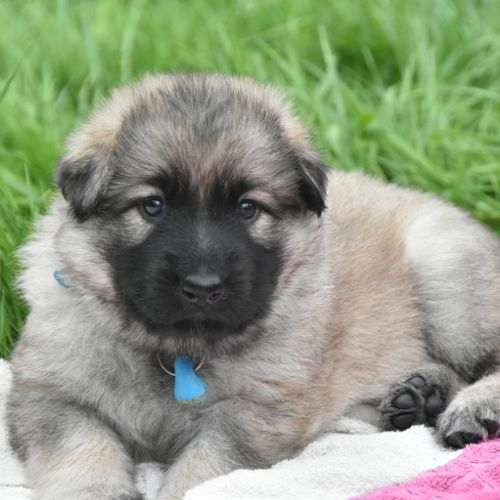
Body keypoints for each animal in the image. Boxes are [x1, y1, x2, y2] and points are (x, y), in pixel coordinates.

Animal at [7, 73, 500, 500]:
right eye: (153, 205)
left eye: (247, 208)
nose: (202, 286)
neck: (174, 350)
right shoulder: (50, 395)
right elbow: (79, 451)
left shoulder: (254, 414)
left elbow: (204, 471)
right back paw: (420, 394)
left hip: (446, 274)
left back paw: (471, 406)